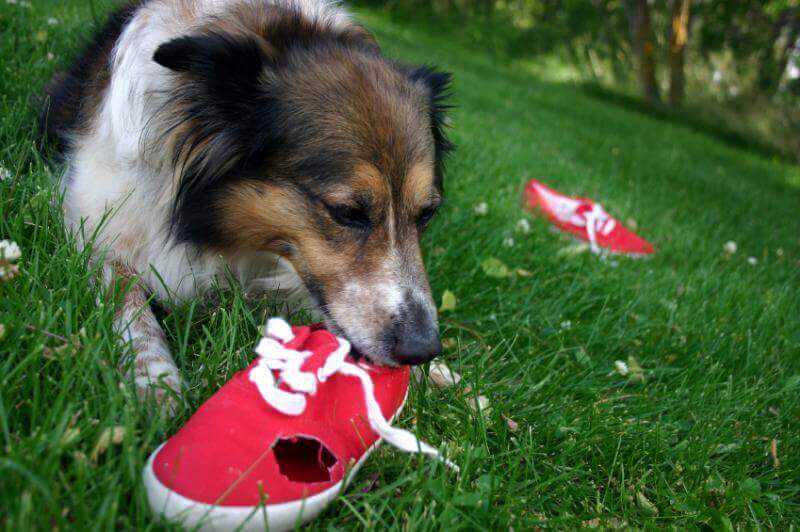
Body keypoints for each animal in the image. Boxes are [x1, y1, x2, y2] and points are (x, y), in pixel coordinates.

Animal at [40, 0, 450, 406]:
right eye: (347, 213)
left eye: (426, 214)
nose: (422, 349)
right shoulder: (97, 226)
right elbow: (129, 301)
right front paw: (156, 381)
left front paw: (438, 375)